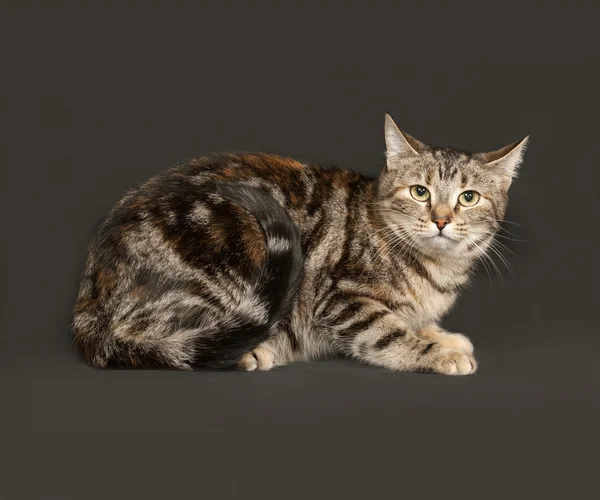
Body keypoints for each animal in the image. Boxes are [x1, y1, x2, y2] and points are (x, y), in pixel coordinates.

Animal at [72, 115, 528, 376]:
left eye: (468, 197)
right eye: (420, 192)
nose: (441, 219)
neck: (435, 270)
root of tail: (88, 301)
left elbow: (415, 322)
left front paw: (440, 335)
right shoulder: (342, 299)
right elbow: (388, 334)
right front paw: (435, 352)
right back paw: (249, 352)